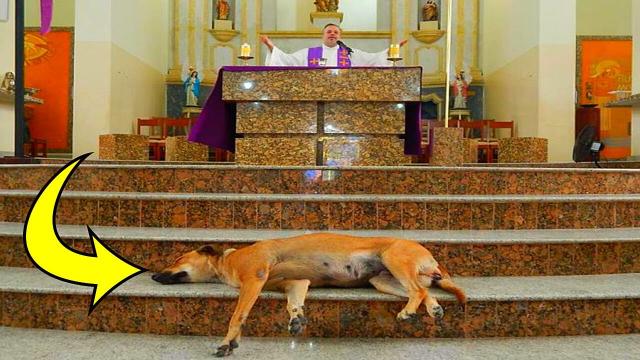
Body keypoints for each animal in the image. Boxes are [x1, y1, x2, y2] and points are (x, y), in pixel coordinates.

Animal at [152, 233, 468, 358]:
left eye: (177, 258)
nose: (153, 276)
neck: (228, 261)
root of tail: (430, 256)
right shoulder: (295, 283)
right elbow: (293, 303)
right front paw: (296, 318)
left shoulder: (253, 279)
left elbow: (238, 315)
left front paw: (227, 342)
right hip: (382, 280)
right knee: (425, 291)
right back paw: (433, 309)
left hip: (394, 258)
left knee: (418, 290)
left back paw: (409, 311)